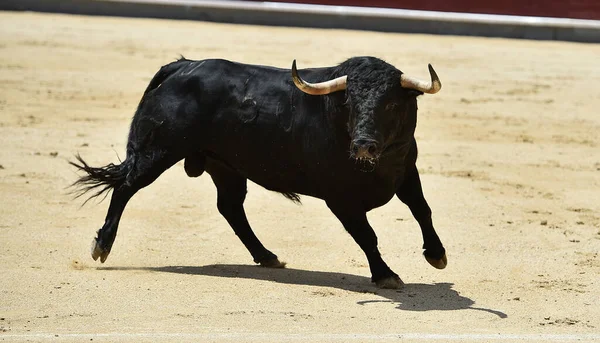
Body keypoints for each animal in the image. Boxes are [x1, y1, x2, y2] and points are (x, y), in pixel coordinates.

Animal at [70, 57, 446, 290]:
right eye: (349, 102)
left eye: (392, 103)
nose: (364, 146)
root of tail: (182, 66)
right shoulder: (340, 199)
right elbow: (367, 236)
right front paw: (386, 275)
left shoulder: (406, 171)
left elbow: (423, 210)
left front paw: (437, 255)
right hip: (157, 152)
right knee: (126, 187)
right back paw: (102, 245)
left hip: (223, 166)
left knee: (230, 208)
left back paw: (267, 256)